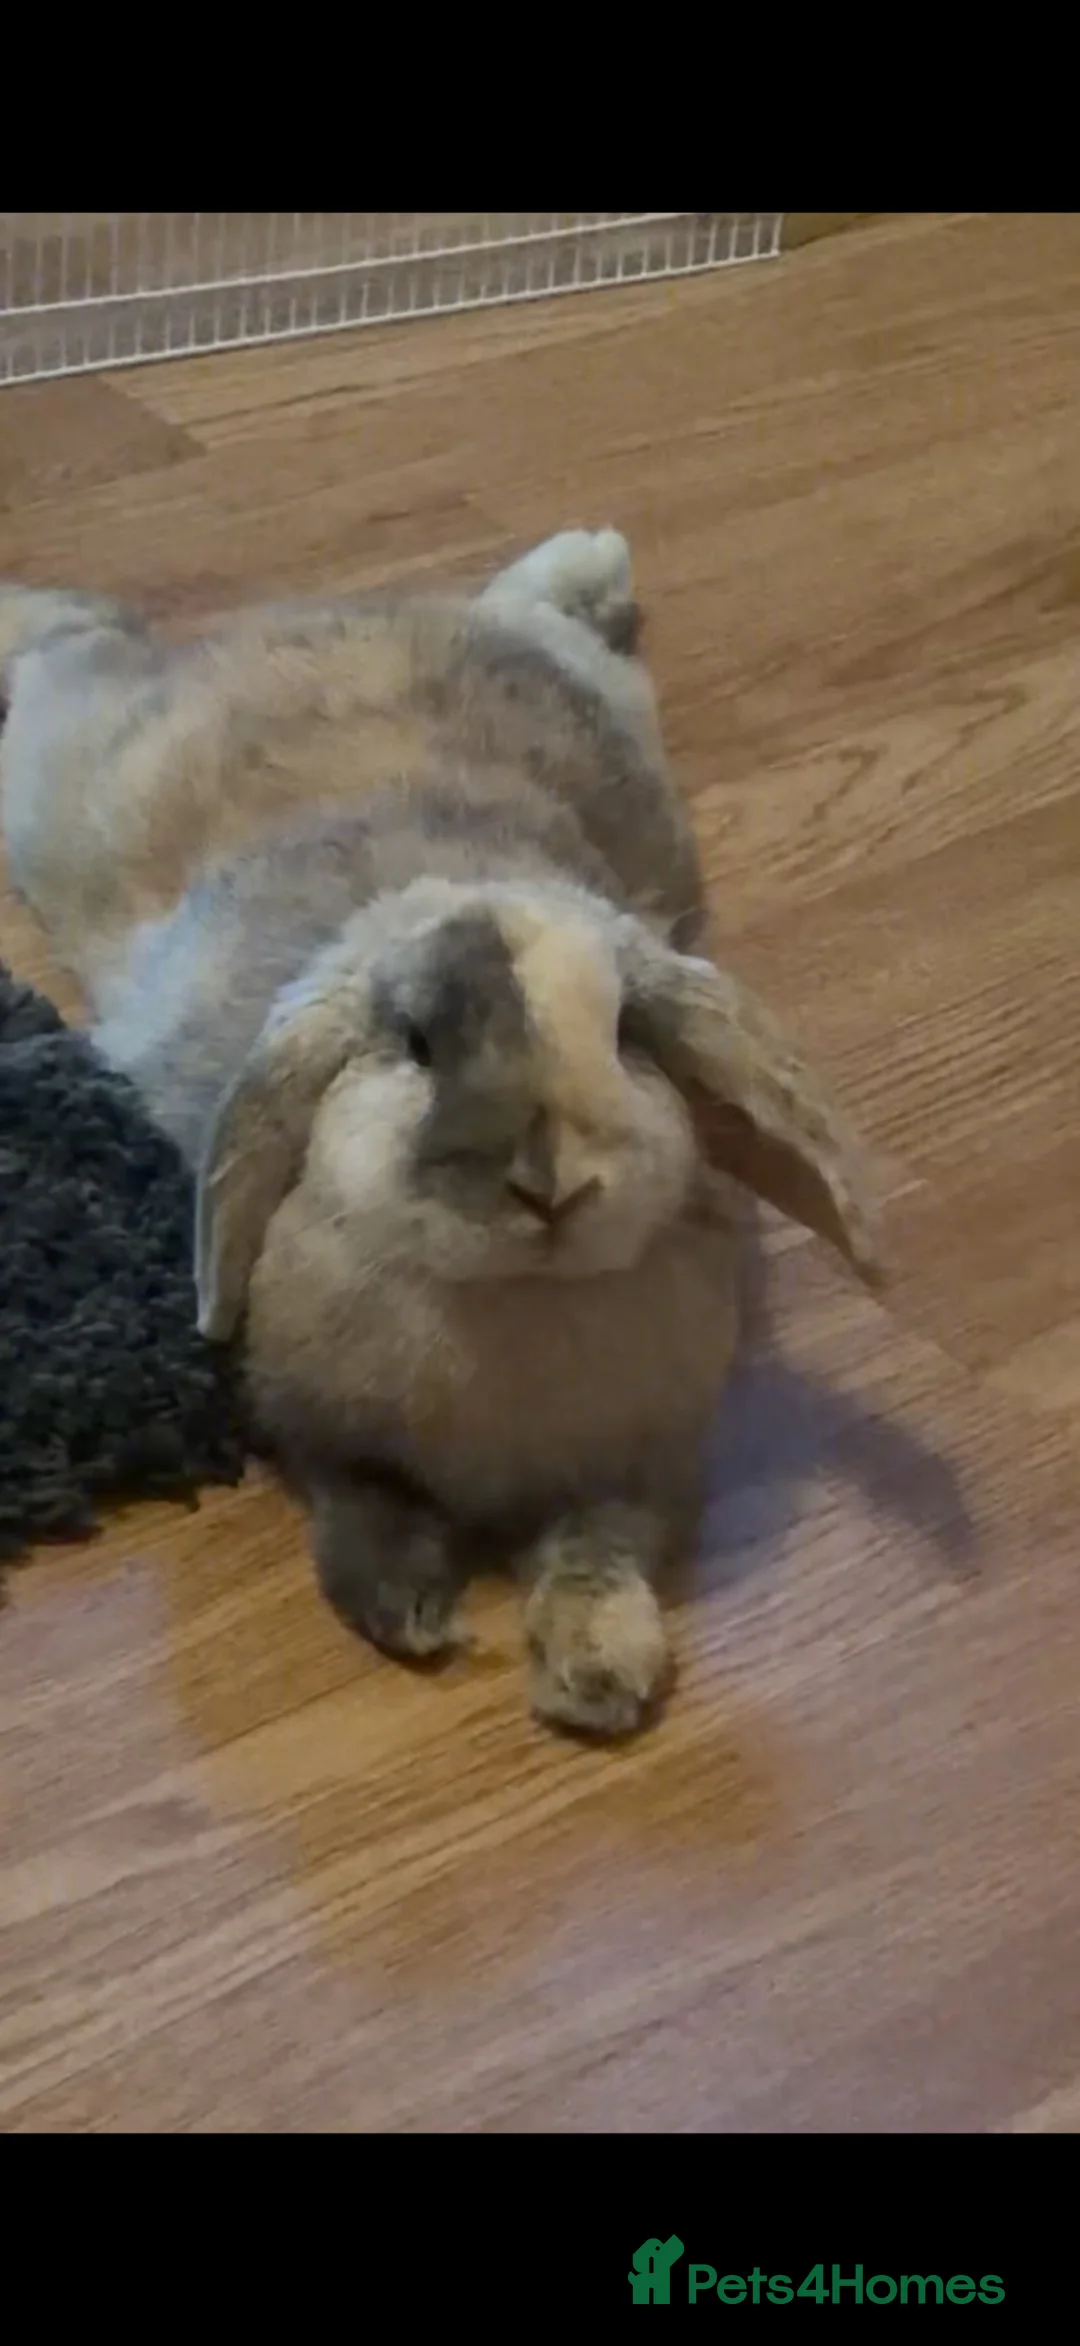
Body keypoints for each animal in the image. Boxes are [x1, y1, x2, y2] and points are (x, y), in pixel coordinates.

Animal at [0, 531, 880, 1736]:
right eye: (416, 1043)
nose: (548, 1185)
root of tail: (351, 613)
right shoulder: (312, 1433)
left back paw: (590, 564)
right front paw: (413, 1614)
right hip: (66, 787)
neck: (515, 1300)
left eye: (625, 1034)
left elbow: (601, 1549)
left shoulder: (641, 1466)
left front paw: (600, 1675)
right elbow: (364, 1507)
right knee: (67, 638)